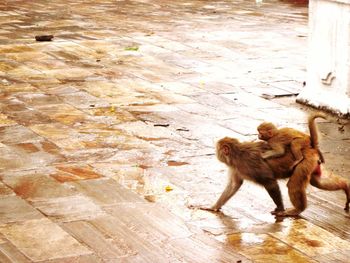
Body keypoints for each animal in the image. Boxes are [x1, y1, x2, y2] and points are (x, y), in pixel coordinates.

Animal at [198, 137, 348, 218]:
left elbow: (270, 183)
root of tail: (310, 148)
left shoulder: (248, 164)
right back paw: (346, 186)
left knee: (294, 184)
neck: (237, 154)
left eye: (217, 149)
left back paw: (297, 210)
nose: (216, 153)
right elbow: (234, 185)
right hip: (312, 164)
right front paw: (214, 207)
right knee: (317, 181)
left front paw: (280, 208)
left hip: (305, 162)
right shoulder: (236, 167)